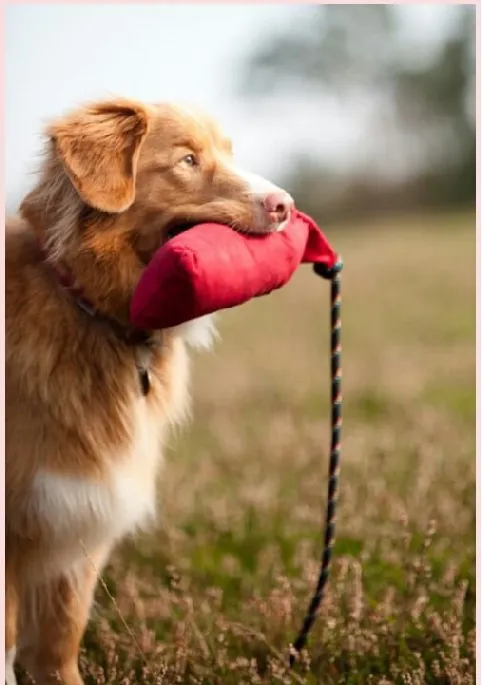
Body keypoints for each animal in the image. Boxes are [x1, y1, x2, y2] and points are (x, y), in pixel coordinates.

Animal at [4, 97, 294, 684]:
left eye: (229, 153)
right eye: (187, 160)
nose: (286, 206)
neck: (88, 308)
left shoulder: (76, 518)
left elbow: (58, 649)